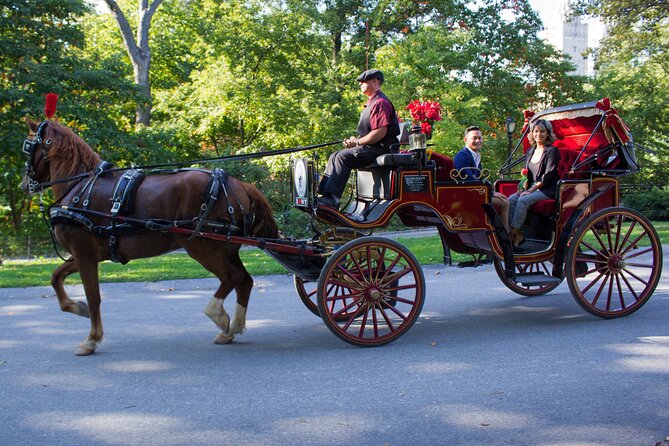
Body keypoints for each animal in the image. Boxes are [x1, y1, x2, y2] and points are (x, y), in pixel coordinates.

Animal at [20, 118, 276, 356]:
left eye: (28, 145)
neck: (80, 189)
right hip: (226, 248)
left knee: (232, 277)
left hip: (202, 247)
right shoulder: (86, 255)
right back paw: (234, 328)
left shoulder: (84, 254)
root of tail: (238, 184)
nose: (24, 185)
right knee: (244, 281)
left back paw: (219, 316)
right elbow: (56, 278)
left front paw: (91, 339)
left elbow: (93, 297)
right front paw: (75, 307)